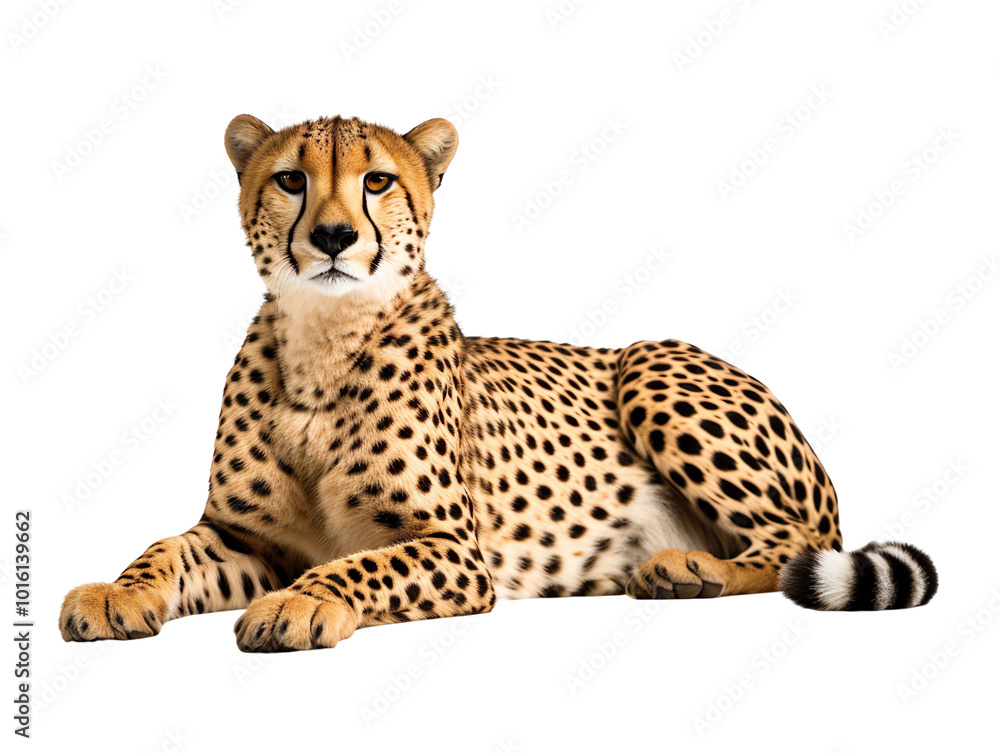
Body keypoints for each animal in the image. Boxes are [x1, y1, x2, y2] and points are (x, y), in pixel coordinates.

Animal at [60, 114, 938, 652]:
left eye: (377, 181)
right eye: (288, 180)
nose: (335, 237)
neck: (322, 342)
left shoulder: (456, 548)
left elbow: (353, 564)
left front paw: (300, 601)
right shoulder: (248, 540)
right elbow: (166, 546)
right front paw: (113, 590)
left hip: (650, 361)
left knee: (799, 544)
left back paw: (689, 569)